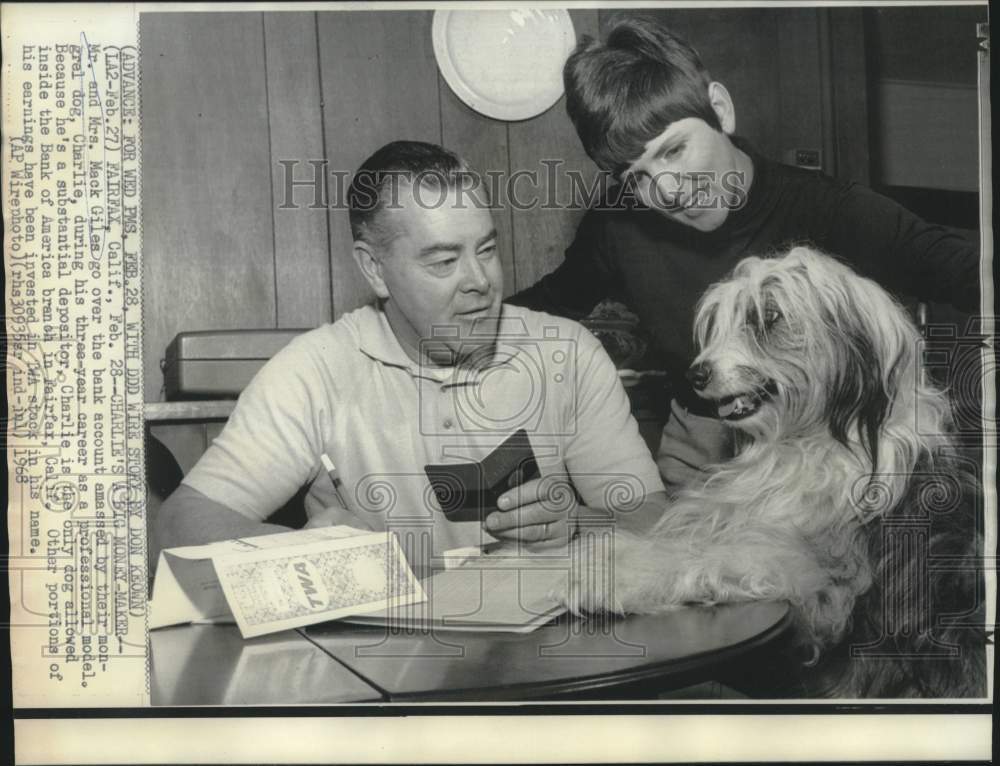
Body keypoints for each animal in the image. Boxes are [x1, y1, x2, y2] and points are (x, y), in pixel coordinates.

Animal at [568, 249, 988, 700]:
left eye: (769, 317)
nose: (696, 374)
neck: (806, 442)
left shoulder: (821, 580)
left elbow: (715, 556)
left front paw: (609, 575)